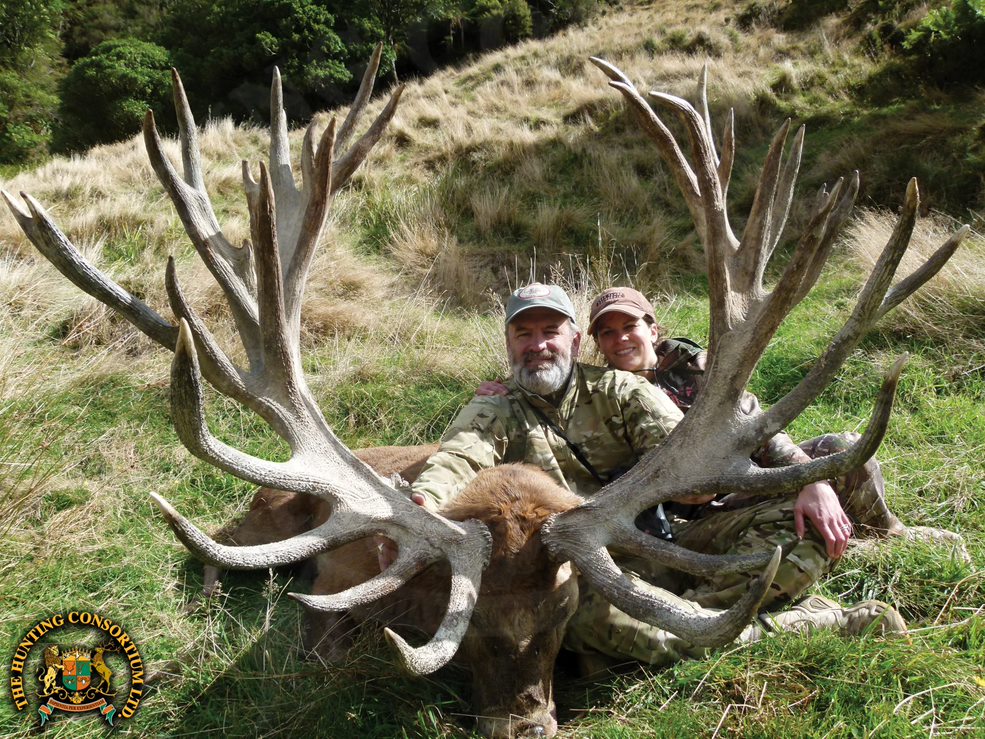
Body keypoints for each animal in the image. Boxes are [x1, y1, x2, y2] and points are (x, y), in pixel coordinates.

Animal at [2, 45, 967, 738]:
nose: (522, 725)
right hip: (256, 519)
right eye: (458, 623)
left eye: (564, 606)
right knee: (210, 547)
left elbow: (778, 612)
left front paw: (869, 602)